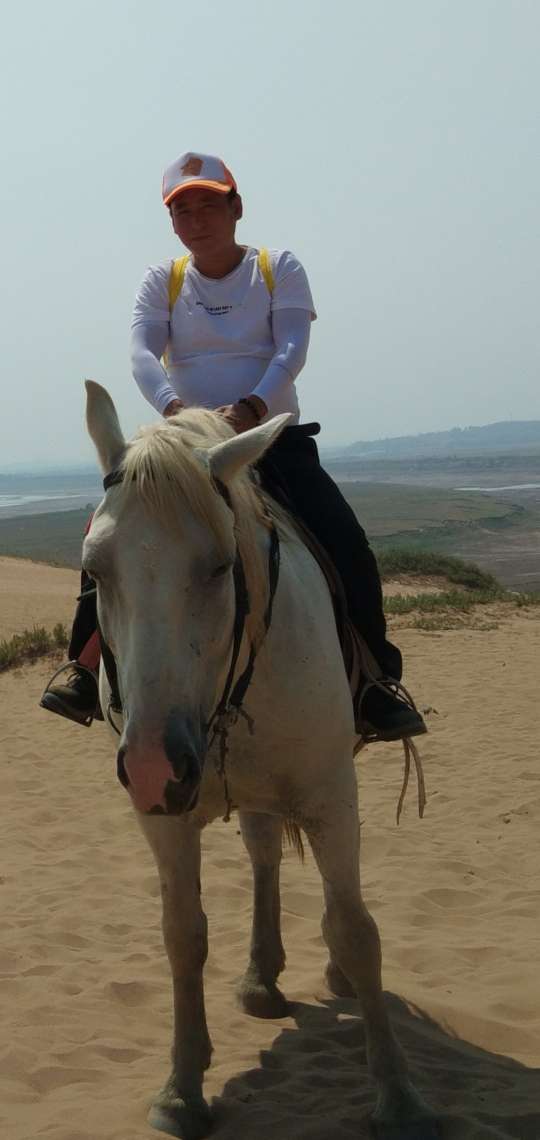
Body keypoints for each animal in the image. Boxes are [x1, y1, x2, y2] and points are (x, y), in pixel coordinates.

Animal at [83, 380, 434, 1138]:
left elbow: (357, 930)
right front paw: (181, 1089)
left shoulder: (331, 795)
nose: (154, 765)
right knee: (266, 857)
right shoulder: (163, 819)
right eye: (94, 571)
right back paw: (260, 978)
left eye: (219, 564)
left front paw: (400, 1099)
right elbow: (182, 935)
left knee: (322, 892)